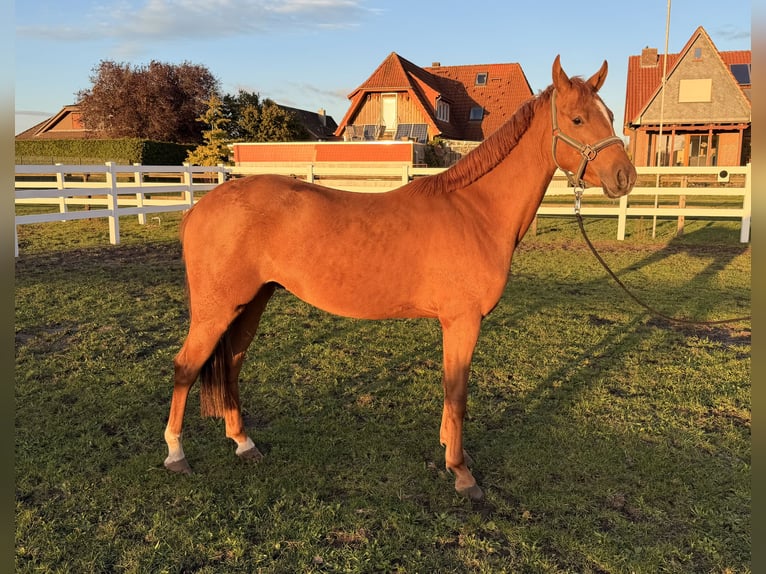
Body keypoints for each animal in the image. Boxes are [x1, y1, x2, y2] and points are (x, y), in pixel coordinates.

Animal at [163, 56, 636, 500]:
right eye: (577, 119)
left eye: (610, 114)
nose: (625, 177)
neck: (476, 210)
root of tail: (202, 206)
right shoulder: (462, 321)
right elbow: (457, 393)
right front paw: (461, 472)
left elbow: (449, 390)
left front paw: (450, 452)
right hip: (216, 311)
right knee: (186, 367)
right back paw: (176, 454)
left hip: (250, 305)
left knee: (231, 367)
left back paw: (244, 444)